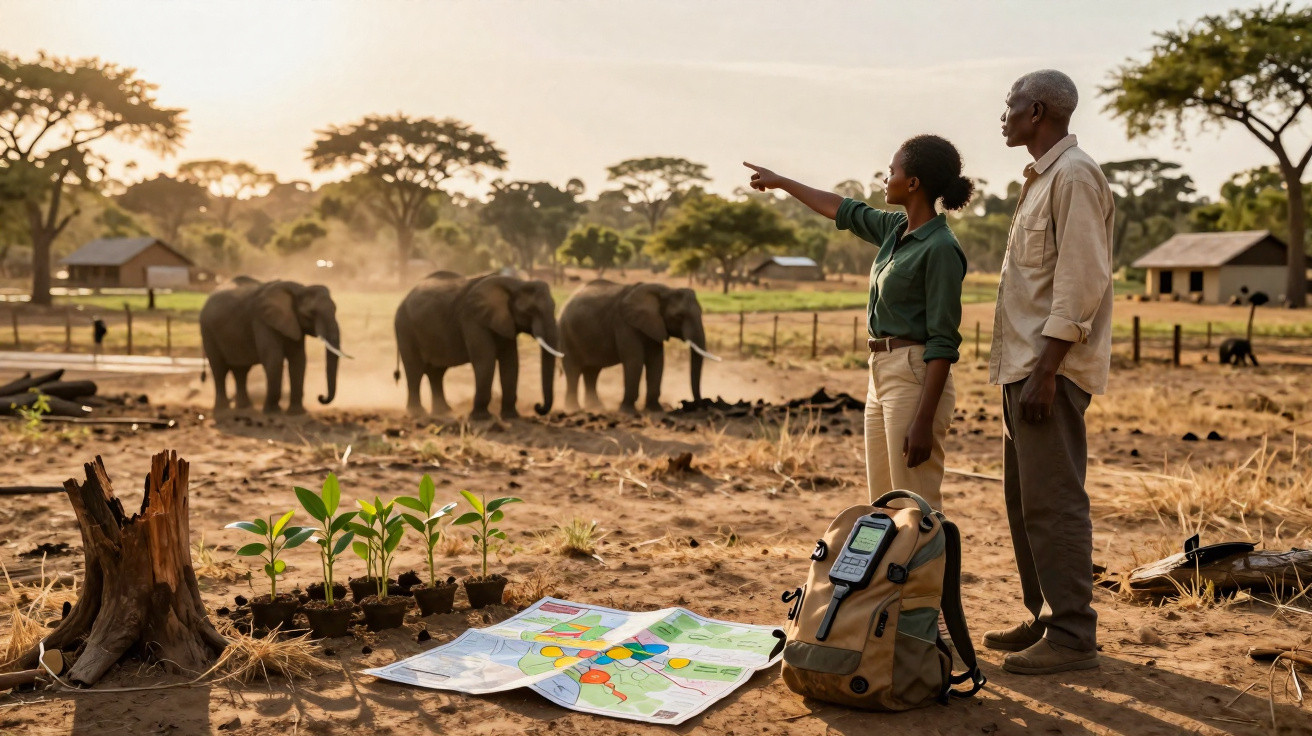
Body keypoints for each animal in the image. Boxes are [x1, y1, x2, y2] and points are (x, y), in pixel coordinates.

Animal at [199, 279, 343, 414]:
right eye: (311, 313)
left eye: (335, 309)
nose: (321, 397)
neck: (299, 289)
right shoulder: (262, 321)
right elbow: (274, 358)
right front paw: (273, 412)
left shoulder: (294, 323)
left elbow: (298, 360)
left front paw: (296, 413)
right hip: (207, 331)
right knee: (219, 368)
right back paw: (223, 409)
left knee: (241, 370)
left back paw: (244, 408)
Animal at [394, 271, 561, 420]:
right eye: (530, 311)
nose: (538, 406)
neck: (516, 283)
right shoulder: (473, 319)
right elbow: (485, 360)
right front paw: (482, 418)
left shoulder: (505, 321)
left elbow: (510, 362)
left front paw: (511, 417)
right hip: (405, 328)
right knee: (414, 370)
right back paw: (418, 413)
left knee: (436, 372)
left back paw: (444, 412)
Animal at [558, 280, 717, 414]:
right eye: (679, 316)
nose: (697, 405)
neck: (664, 290)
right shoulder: (624, 324)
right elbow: (635, 361)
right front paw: (627, 412)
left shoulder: (654, 325)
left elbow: (656, 361)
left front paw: (656, 410)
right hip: (565, 334)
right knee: (573, 370)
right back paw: (573, 410)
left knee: (592, 371)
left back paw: (596, 408)